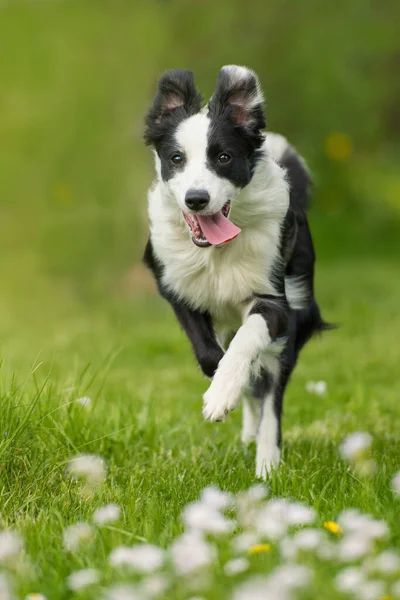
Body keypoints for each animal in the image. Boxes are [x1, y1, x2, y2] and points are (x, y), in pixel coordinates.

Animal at [144, 64, 328, 478]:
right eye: (176, 158)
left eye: (224, 157)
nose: (197, 199)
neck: (216, 252)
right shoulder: (175, 285)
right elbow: (209, 353)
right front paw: (221, 388)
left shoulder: (276, 300)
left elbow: (250, 338)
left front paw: (221, 394)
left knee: (272, 395)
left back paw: (266, 464)